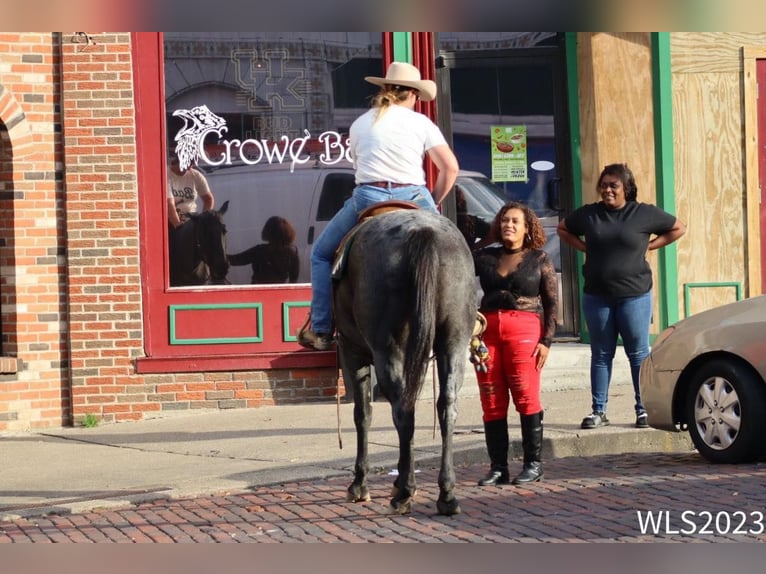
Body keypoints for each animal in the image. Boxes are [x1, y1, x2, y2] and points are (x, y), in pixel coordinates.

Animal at [332, 208, 476, 516]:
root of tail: (425, 232)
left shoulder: (352, 351)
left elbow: (363, 415)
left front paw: (359, 484)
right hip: (454, 342)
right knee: (447, 406)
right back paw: (446, 494)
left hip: (388, 349)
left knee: (403, 410)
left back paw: (405, 492)